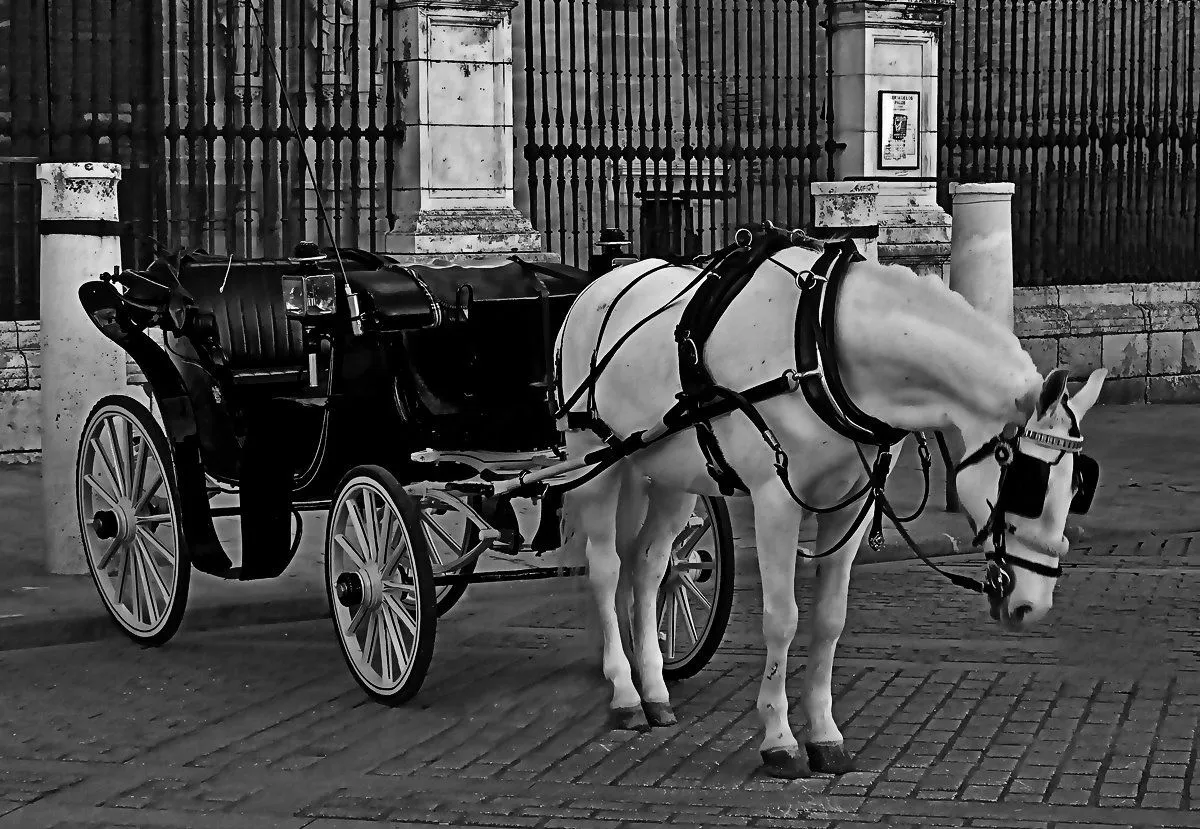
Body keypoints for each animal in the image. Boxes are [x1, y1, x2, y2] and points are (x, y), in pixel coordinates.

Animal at [552, 238, 1104, 777]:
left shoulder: (849, 503)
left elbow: (829, 619)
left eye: (1079, 486)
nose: (1032, 607)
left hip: (673, 474)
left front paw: (824, 734)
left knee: (649, 569)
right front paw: (779, 740)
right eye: (1029, 482)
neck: (820, 349)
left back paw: (655, 690)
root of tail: (596, 286)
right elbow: (782, 619)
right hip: (594, 459)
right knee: (606, 568)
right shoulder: (776, 502)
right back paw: (625, 694)